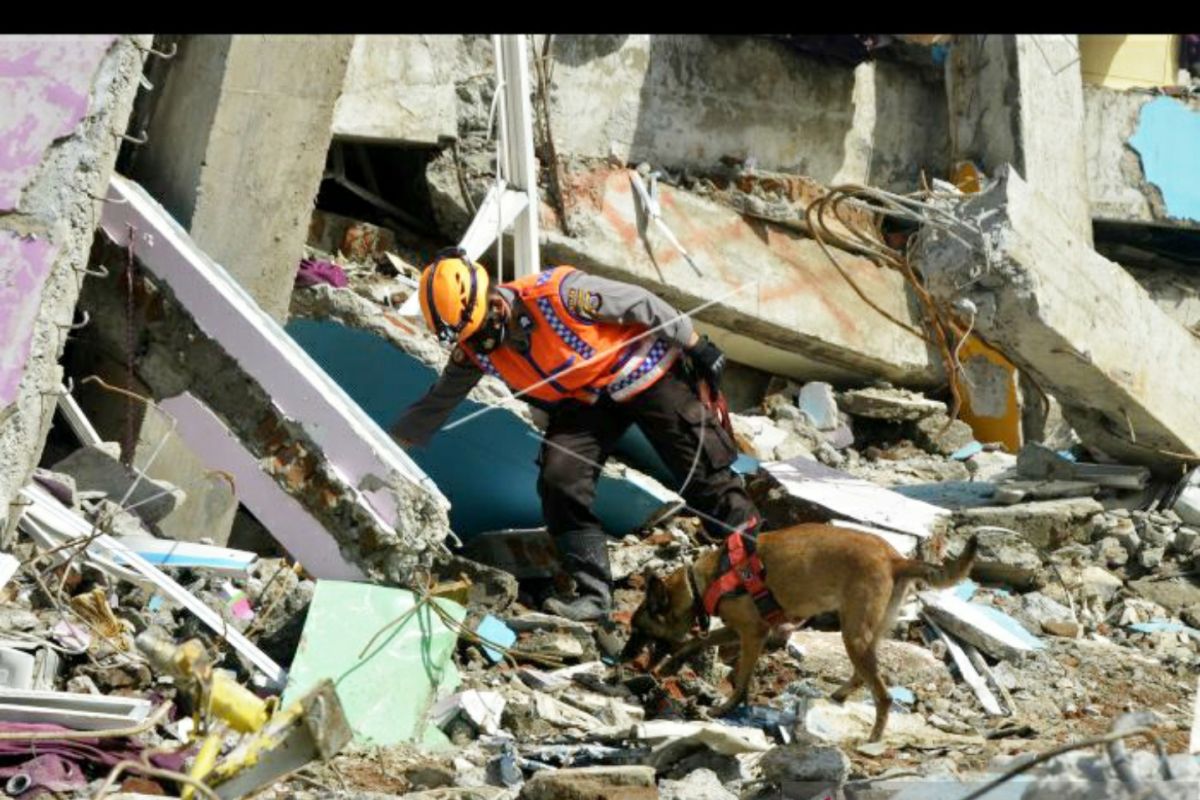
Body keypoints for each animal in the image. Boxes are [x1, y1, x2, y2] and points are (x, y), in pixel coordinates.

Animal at [624, 525, 979, 743]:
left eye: (638, 630)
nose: (623, 657)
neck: (701, 583)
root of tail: (896, 559)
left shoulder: (753, 633)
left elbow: (741, 679)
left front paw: (726, 708)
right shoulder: (743, 628)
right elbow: (700, 639)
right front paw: (673, 662)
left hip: (854, 635)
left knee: (883, 695)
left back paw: (874, 738)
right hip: (865, 633)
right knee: (862, 676)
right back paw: (840, 695)